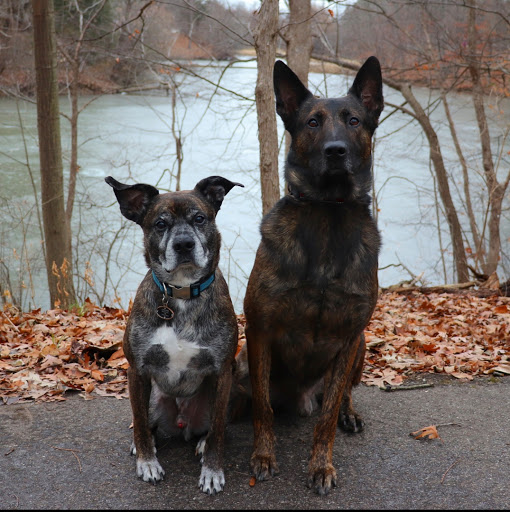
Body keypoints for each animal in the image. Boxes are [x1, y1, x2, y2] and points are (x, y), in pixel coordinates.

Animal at [243, 58, 382, 494]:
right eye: (312, 122)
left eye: (354, 120)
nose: (335, 151)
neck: (327, 213)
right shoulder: (259, 330)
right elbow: (262, 407)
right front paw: (263, 456)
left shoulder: (349, 336)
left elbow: (328, 417)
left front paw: (321, 466)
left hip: (361, 347)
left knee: (342, 396)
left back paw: (349, 414)